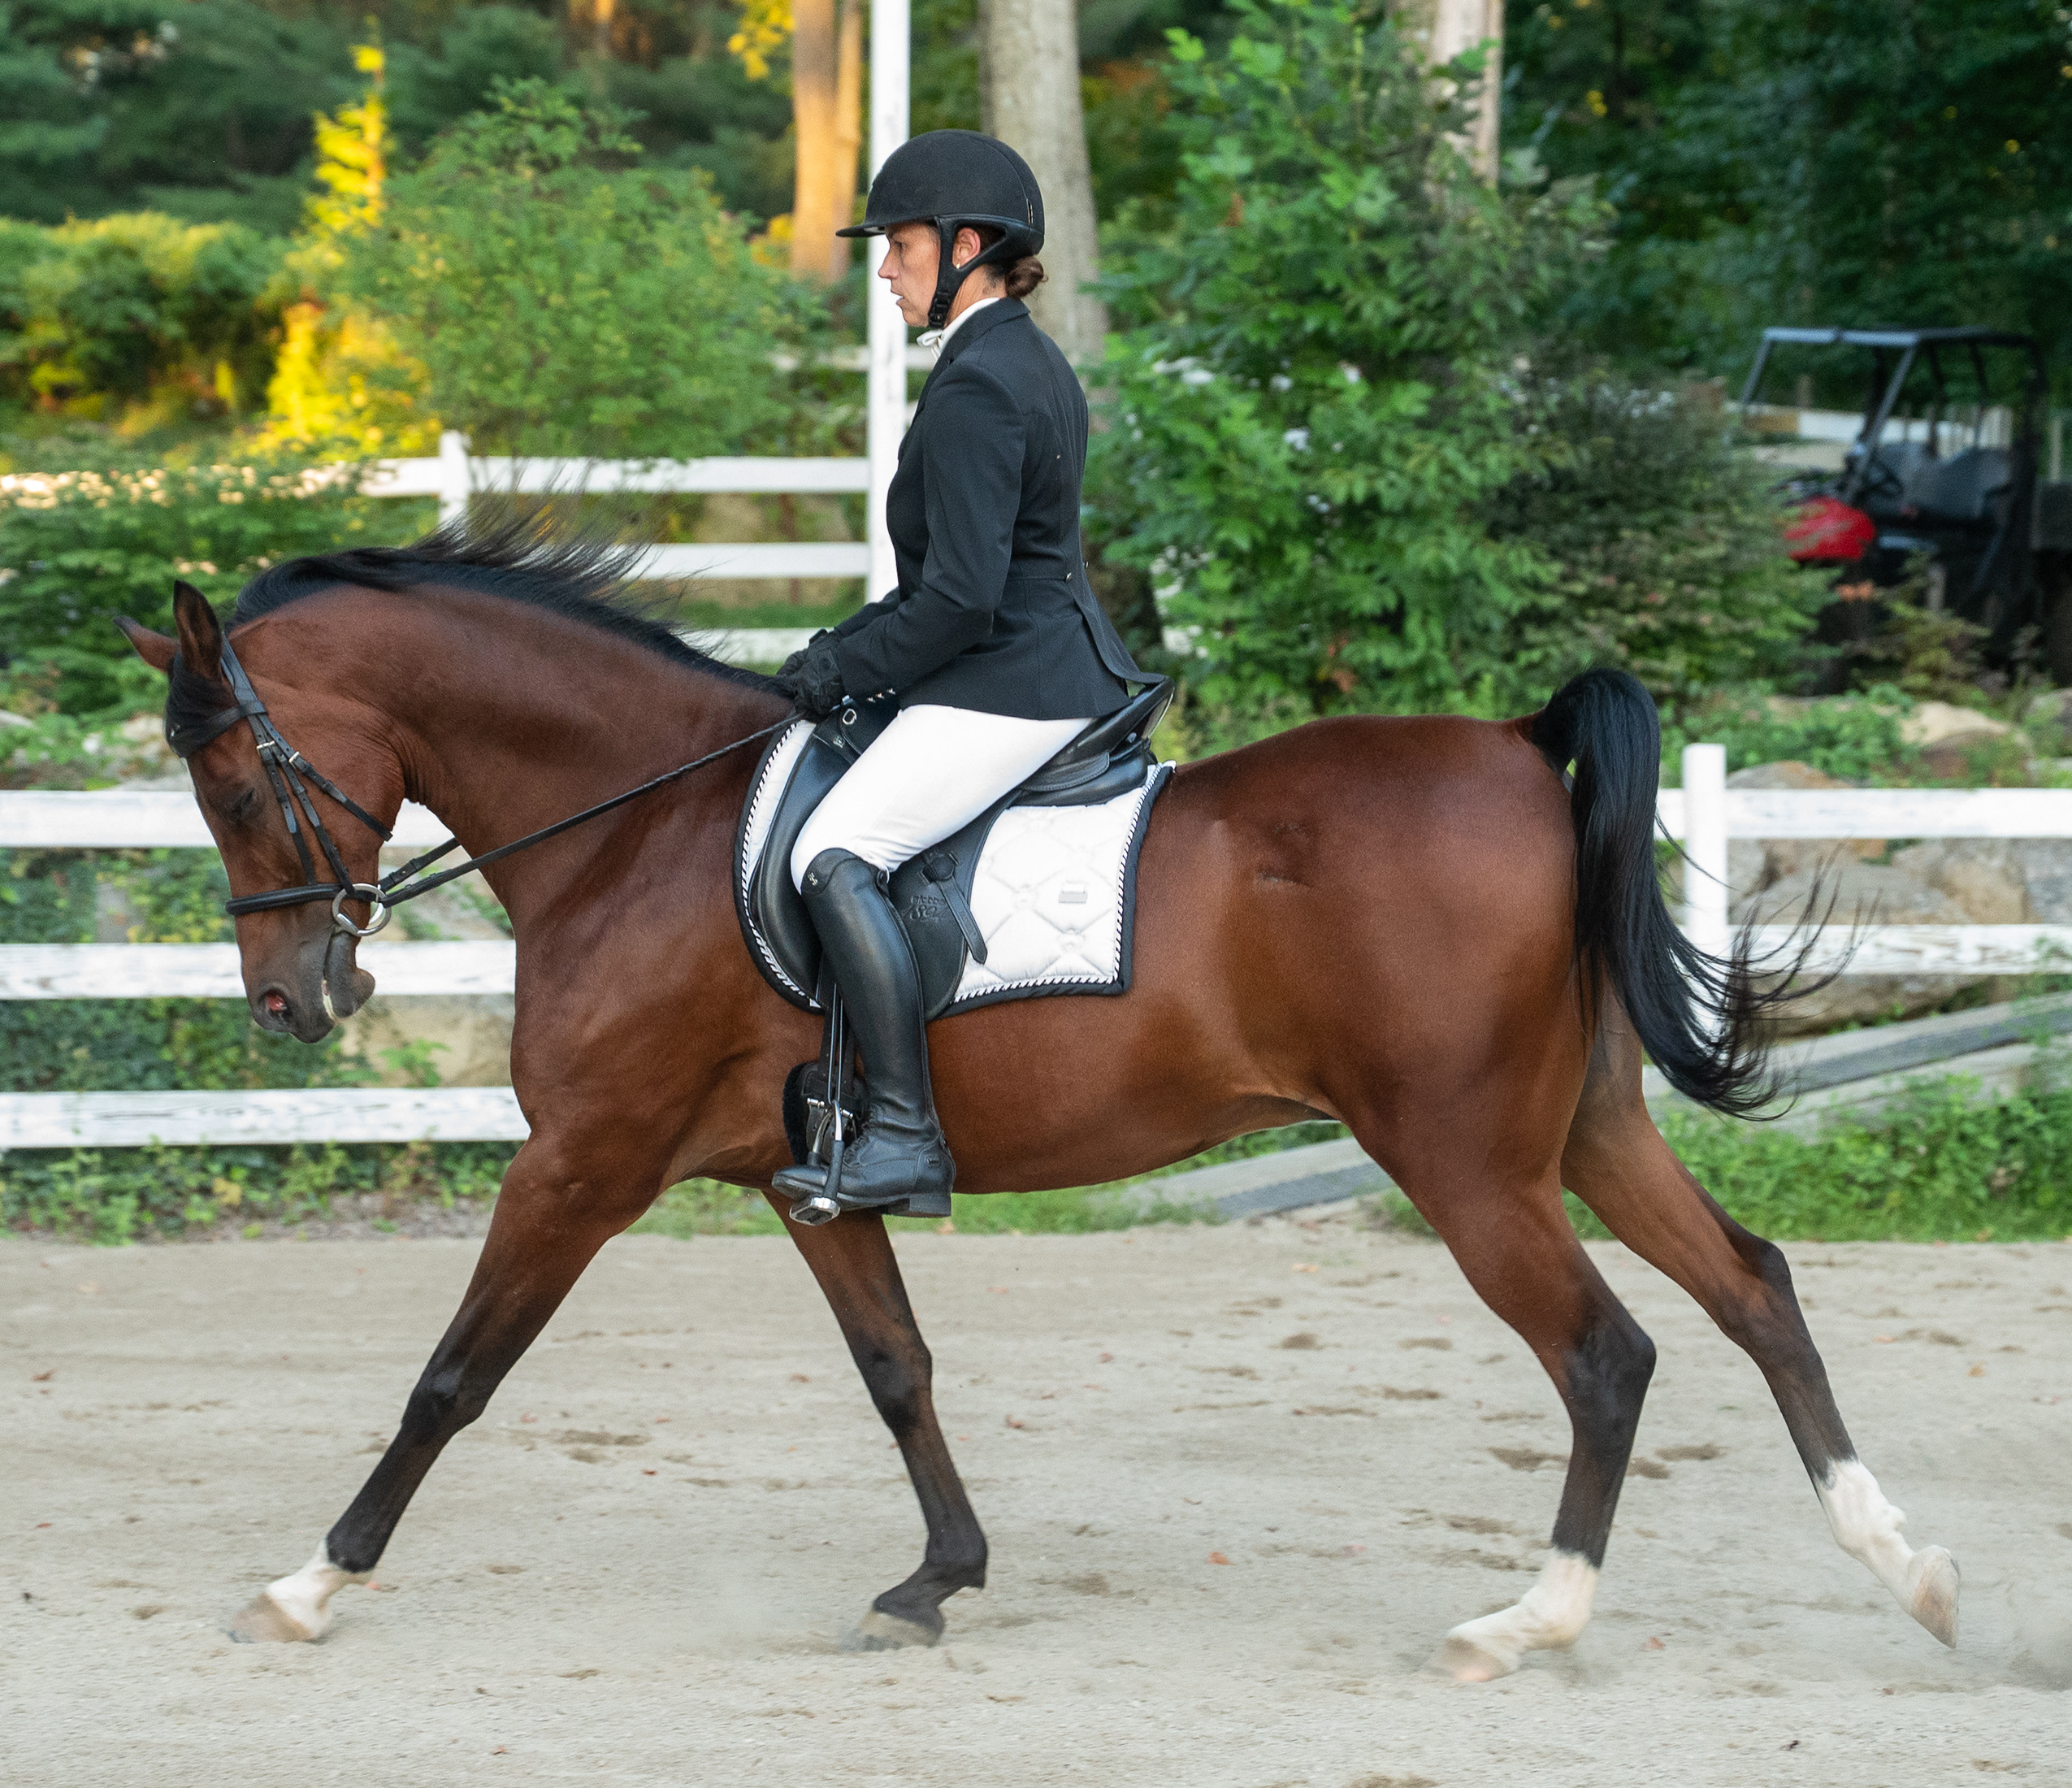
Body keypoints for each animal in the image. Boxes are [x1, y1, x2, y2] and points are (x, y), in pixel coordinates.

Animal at [115, 528, 1959, 1680]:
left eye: (232, 780)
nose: (290, 1003)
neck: (637, 830)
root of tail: (1515, 747)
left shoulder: (584, 1162)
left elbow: (452, 1375)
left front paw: (307, 1584)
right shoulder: (804, 1180)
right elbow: (899, 1370)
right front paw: (938, 1583)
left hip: (1464, 1160)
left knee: (1607, 1354)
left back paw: (1530, 1622)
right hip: (1587, 1130)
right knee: (1753, 1288)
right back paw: (1911, 1568)